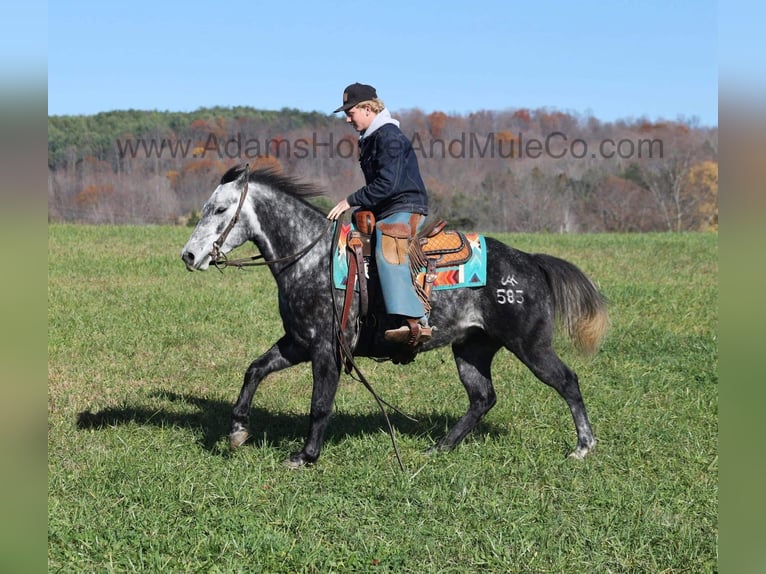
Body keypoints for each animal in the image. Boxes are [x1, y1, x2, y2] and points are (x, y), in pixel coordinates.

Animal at [181, 164, 609, 468]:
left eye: (220, 209)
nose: (189, 255)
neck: (312, 258)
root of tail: (531, 262)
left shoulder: (326, 349)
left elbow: (320, 403)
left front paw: (306, 456)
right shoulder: (298, 342)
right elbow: (254, 370)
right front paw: (238, 431)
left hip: (531, 345)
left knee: (567, 382)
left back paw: (583, 446)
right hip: (471, 349)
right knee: (482, 398)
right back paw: (440, 448)